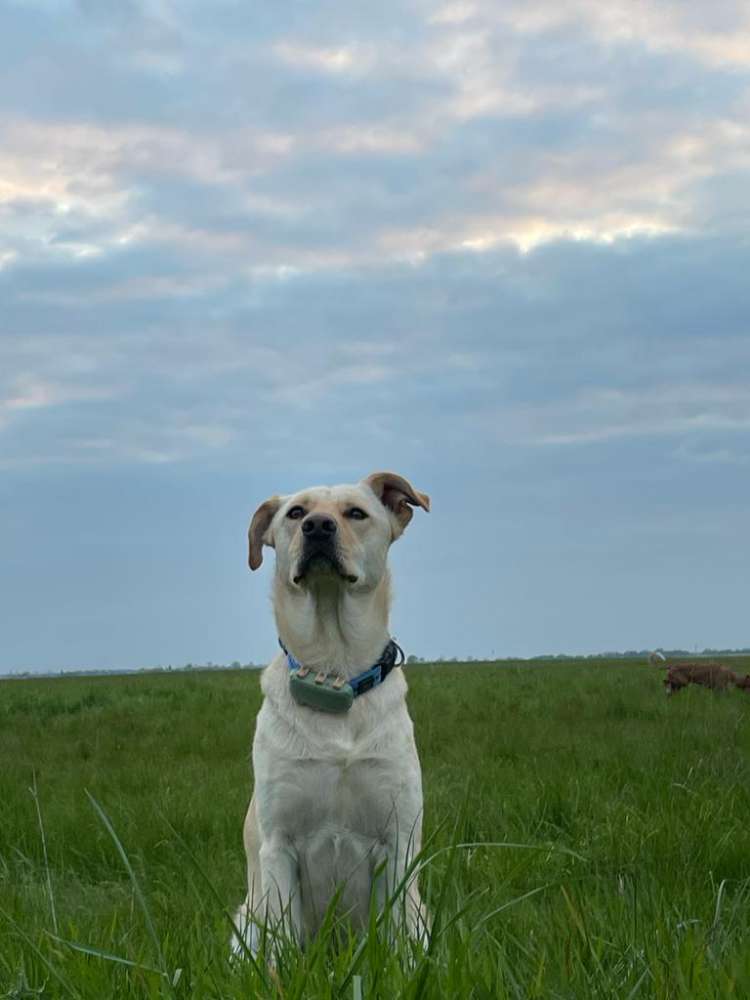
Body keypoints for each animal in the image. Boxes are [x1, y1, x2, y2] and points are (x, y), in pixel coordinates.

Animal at [235, 472, 434, 956]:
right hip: (244, 922)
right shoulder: (278, 845)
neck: (336, 676)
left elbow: (399, 943)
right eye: (296, 513)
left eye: (355, 513)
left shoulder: (399, 841)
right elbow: (283, 945)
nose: (318, 528)